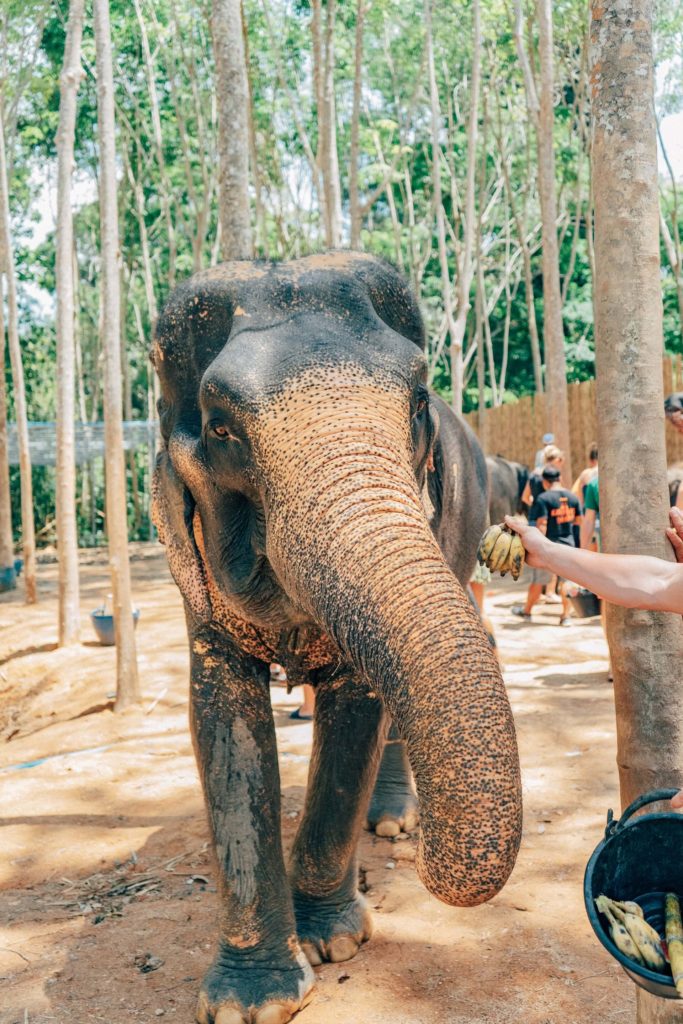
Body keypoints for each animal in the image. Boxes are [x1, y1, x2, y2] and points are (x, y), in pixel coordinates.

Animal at [150, 249, 524, 1024]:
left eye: (417, 402)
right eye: (221, 427)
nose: (435, 860)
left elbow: (357, 708)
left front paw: (333, 943)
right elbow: (221, 720)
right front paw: (250, 1002)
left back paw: (391, 826)